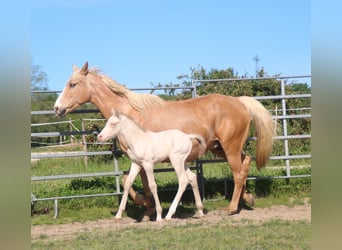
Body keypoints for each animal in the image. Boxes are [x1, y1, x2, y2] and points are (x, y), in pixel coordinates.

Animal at [55, 61, 276, 218]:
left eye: (72, 84)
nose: (57, 108)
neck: (131, 114)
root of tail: (239, 102)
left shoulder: (144, 159)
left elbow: (142, 184)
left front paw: (148, 208)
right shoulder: (138, 160)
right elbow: (134, 181)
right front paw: (148, 209)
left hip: (229, 147)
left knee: (237, 173)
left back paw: (230, 208)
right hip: (220, 147)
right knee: (245, 164)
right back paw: (247, 199)